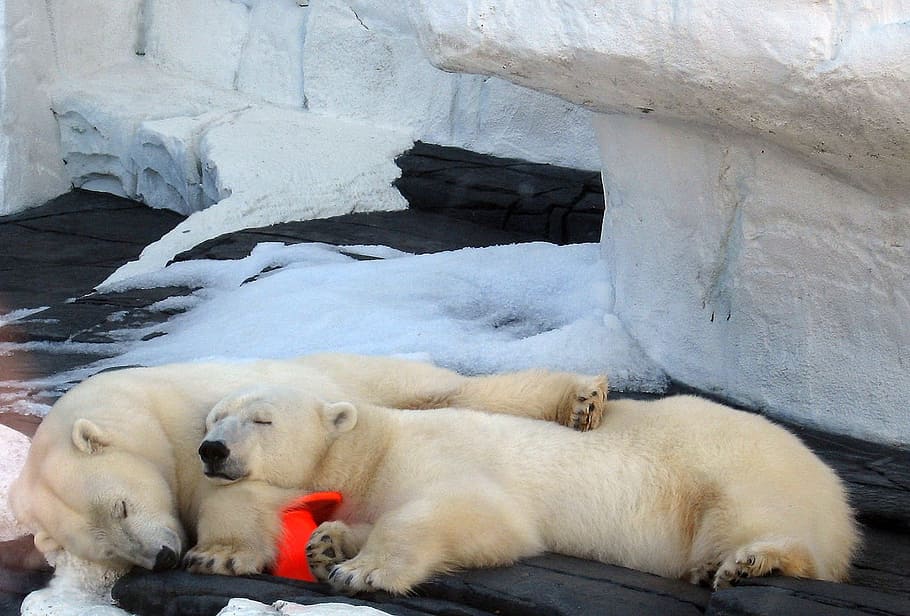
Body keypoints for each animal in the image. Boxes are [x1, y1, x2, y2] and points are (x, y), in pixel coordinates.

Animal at [9, 353, 606, 573]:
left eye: (123, 505)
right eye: (107, 549)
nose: (160, 558)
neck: (144, 408)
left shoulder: (195, 427)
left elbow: (236, 491)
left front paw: (221, 554)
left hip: (370, 377)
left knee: (457, 391)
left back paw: (581, 402)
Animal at [193, 384, 859, 594]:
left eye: (262, 420)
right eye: (214, 417)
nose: (211, 450)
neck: (374, 448)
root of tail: (838, 495)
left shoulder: (433, 457)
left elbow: (476, 515)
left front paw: (363, 571)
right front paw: (328, 542)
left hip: (735, 470)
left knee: (757, 519)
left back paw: (749, 563)